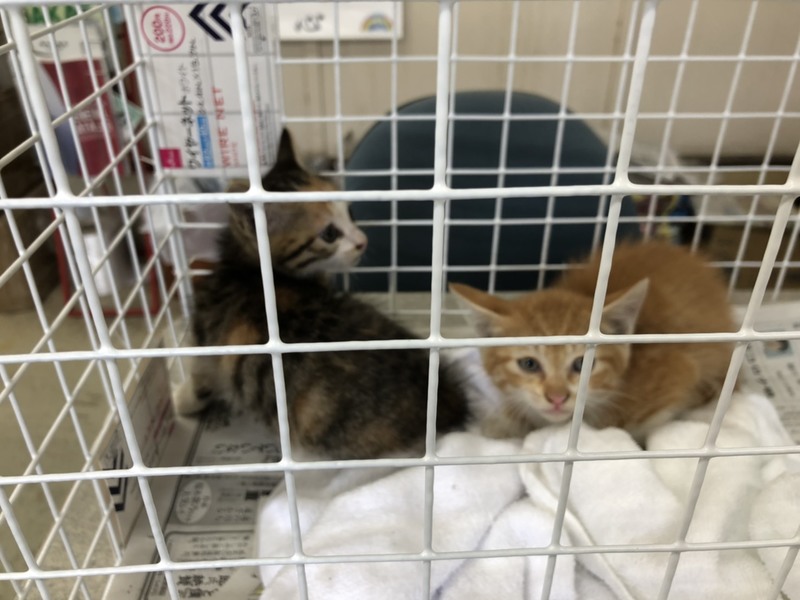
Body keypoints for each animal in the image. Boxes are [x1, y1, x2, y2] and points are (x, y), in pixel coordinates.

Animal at [174, 129, 470, 459]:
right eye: (329, 234)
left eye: (350, 212)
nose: (363, 241)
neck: (249, 268)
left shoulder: (206, 339)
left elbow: (200, 376)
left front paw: (180, 400)